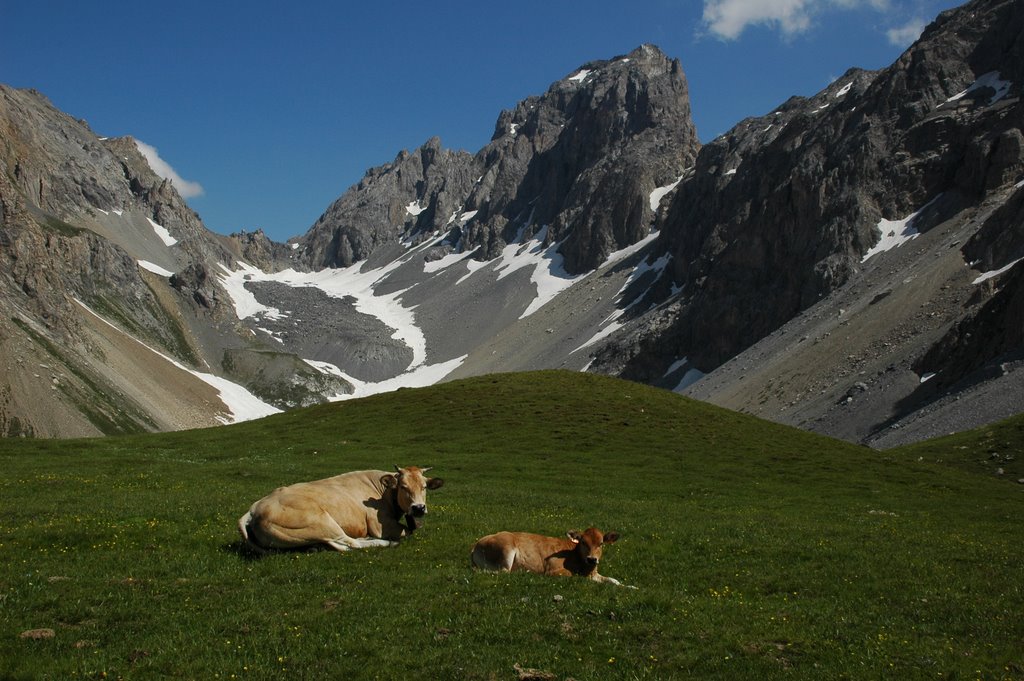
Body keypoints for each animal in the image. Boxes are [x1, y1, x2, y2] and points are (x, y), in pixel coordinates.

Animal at [241, 462, 446, 552]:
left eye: (424, 486)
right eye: (403, 486)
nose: (418, 508)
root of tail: (253, 509)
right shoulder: (381, 525)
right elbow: (408, 531)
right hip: (321, 522)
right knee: (350, 543)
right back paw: (385, 542)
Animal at [468, 524, 630, 585]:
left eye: (601, 543)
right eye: (583, 542)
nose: (592, 559)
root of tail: (476, 544)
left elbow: (614, 580)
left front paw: (630, 587)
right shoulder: (554, 571)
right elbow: (575, 576)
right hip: (506, 550)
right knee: (502, 572)